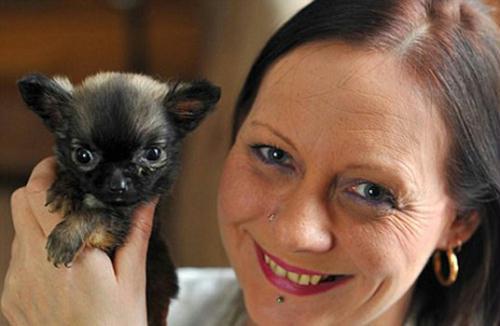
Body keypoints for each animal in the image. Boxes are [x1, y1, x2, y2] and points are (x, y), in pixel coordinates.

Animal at [18, 72, 221, 326]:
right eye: (83, 156)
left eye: (153, 154)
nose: (118, 185)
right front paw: (66, 188)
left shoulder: (116, 229)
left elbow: (96, 214)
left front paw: (66, 236)